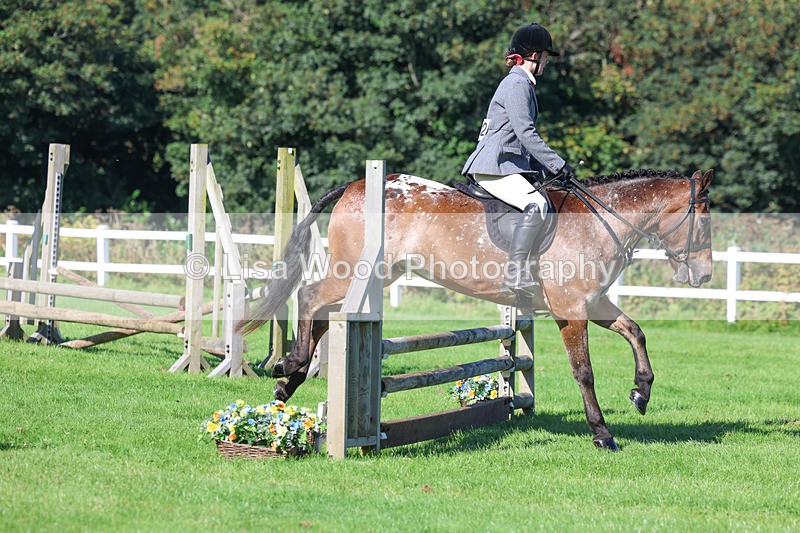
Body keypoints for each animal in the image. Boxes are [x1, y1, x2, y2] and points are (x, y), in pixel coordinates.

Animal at [240, 168, 714, 450]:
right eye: (705, 220)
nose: (705, 275)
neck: (600, 223)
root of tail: (358, 185)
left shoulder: (593, 302)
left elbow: (636, 332)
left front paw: (641, 393)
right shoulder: (572, 309)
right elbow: (585, 372)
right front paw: (602, 435)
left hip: (378, 274)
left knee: (322, 313)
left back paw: (288, 382)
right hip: (356, 270)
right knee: (310, 297)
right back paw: (291, 366)